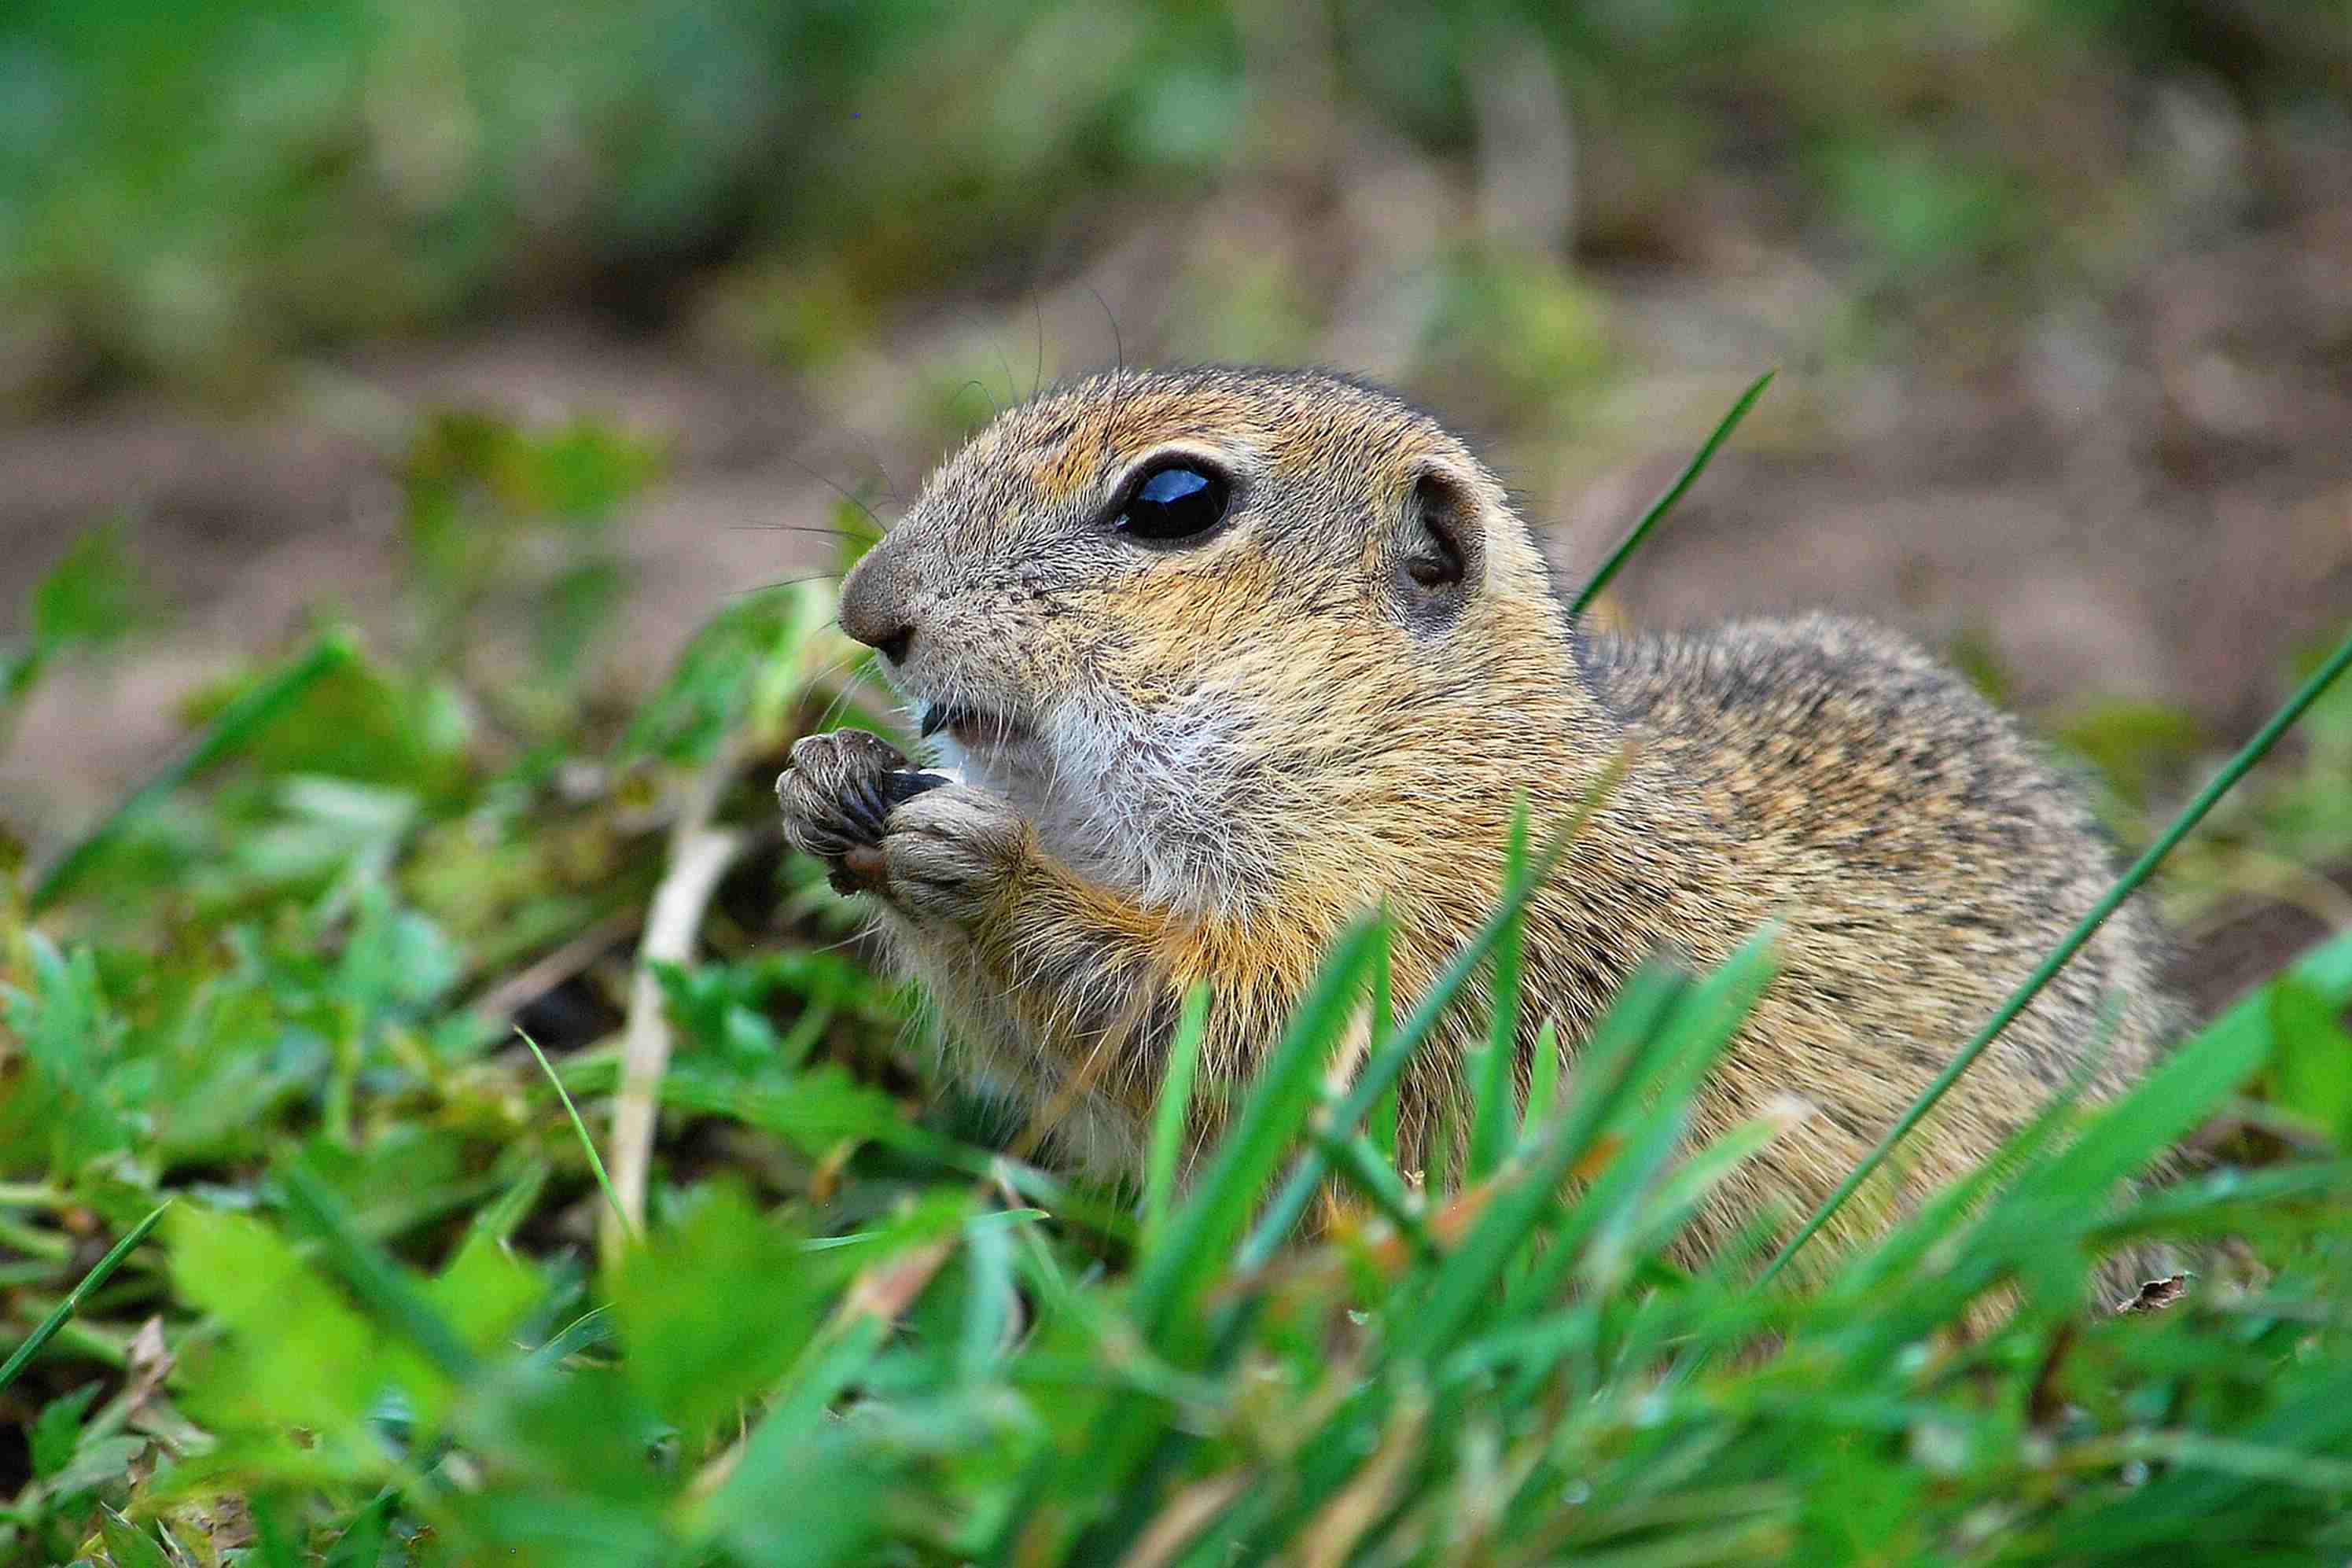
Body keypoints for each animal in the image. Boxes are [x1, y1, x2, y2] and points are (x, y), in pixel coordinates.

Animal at [781, 364, 2173, 1260]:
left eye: (1173, 500)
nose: (865, 609)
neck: (1433, 762)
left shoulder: (1439, 947)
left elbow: (1232, 1029)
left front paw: (983, 863)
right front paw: (822, 777)